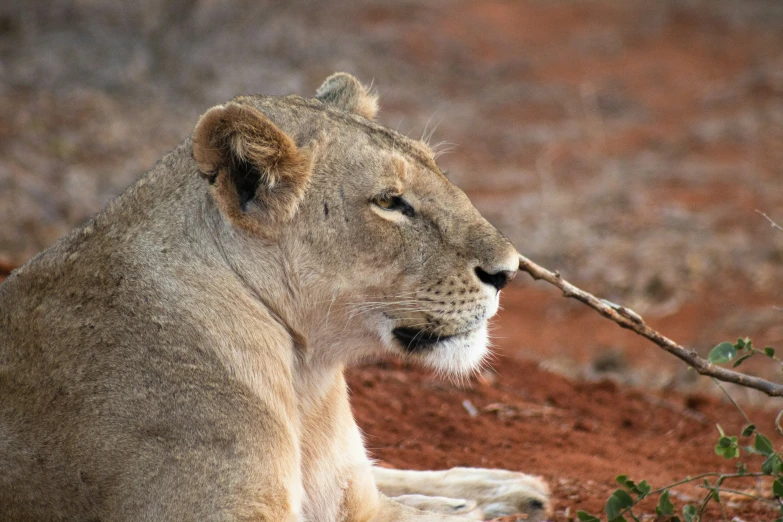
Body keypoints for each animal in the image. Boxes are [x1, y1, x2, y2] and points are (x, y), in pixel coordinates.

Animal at [0, 74, 552, 520]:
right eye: (390, 202)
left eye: (439, 171)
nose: (507, 271)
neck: (305, 374)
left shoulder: (348, 487)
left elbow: (385, 481)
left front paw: (498, 488)